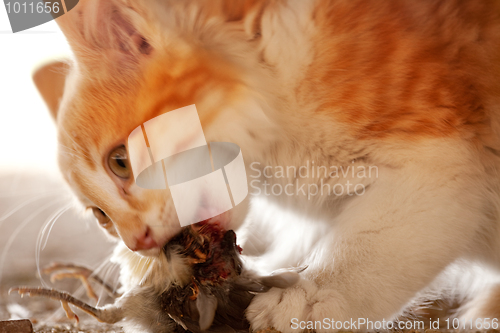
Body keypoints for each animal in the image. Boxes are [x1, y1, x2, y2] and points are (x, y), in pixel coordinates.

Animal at [33, 0, 500, 330]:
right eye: (101, 217)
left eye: (120, 162)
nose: (138, 242)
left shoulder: (441, 164)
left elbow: (372, 246)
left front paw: (310, 297)